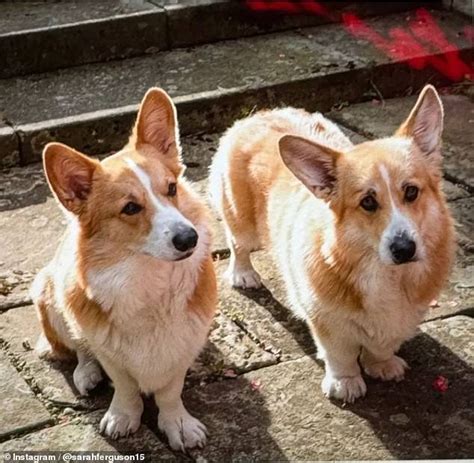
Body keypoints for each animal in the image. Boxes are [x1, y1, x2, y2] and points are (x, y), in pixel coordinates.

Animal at [32, 87, 218, 450]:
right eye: (130, 208)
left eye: (172, 188)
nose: (189, 238)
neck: (148, 278)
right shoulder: (109, 352)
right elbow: (126, 385)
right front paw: (123, 417)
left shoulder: (184, 345)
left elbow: (170, 390)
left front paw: (177, 425)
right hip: (51, 295)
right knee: (79, 349)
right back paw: (86, 374)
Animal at [211, 86, 456, 402]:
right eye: (368, 202)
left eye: (412, 192)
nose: (404, 249)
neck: (387, 275)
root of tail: (257, 114)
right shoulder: (326, 319)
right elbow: (340, 354)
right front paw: (345, 384)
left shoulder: (401, 320)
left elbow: (382, 346)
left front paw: (382, 365)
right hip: (241, 222)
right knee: (237, 243)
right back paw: (243, 274)